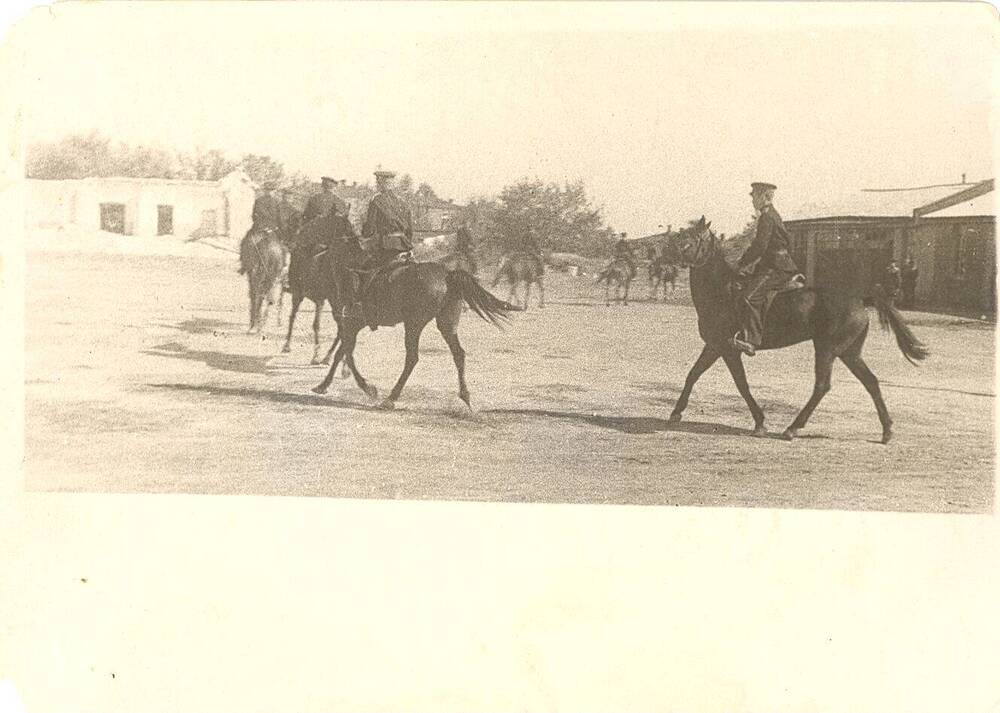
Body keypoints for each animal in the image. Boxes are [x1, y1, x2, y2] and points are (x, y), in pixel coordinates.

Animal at [314, 243, 524, 412]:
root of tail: (447, 274)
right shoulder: (352, 325)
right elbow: (342, 352)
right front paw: (323, 384)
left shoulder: (352, 324)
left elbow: (347, 354)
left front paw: (368, 388)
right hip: (446, 324)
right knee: (459, 354)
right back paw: (465, 396)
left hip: (413, 324)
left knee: (412, 358)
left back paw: (390, 399)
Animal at [664, 217, 928, 442]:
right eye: (683, 234)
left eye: (695, 238)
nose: (668, 255)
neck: (721, 291)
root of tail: (860, 298)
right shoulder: (714, 345)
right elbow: (693, 374)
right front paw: (676, 413)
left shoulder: (727, 348)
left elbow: (741, 384)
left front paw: (760, 422)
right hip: (849, 352)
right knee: (871, 382)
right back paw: (887, 431)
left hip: (826, 349)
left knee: (822, 386)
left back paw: (792, 428)